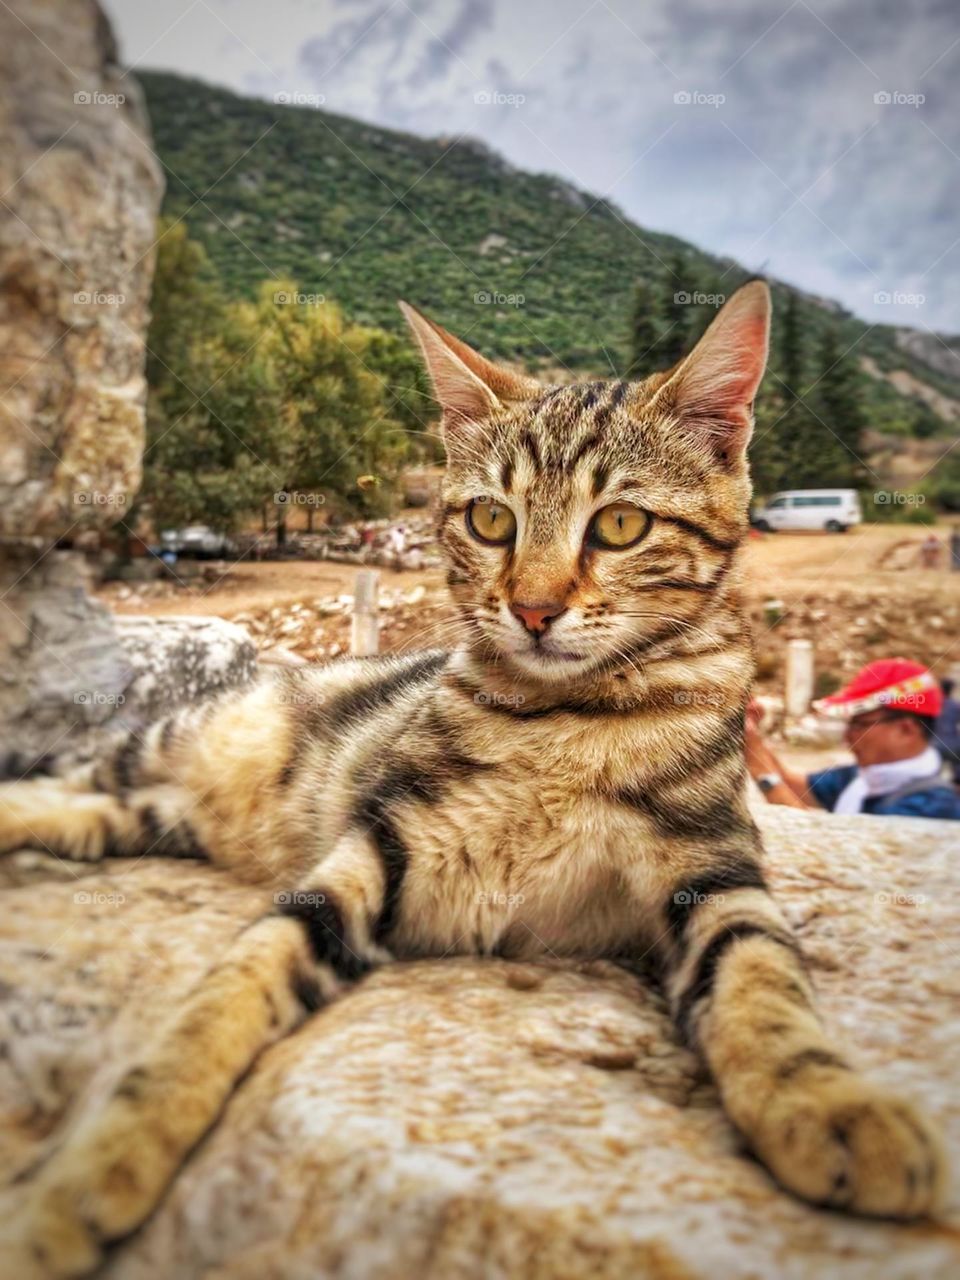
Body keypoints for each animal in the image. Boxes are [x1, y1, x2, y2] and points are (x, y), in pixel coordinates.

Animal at [0, 285, 947, 1274]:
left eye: (621, 525)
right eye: (491, 519)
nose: (531, 609)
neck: (572, 718)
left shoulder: (714, 867)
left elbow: (764, 978)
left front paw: (832, 1103)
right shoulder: (378, 844)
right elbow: (221, 999)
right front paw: (92, 1171)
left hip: (153, 812)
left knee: (81, 809)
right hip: (171, 742)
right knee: (73, 772)